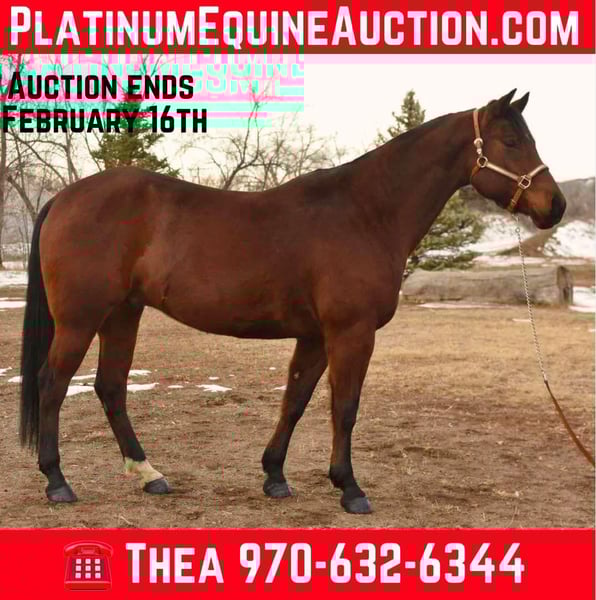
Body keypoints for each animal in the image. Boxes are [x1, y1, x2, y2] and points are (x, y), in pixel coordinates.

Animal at [19, 89, 566, 514]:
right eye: (511, 141)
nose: (555, 205)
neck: (366, 213)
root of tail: (65, 197)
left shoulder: (315, 336)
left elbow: (296, 401)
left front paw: (275, 476)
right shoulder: (350, 333)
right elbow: (344, 407)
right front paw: (350, 489)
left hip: (122, 314)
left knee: (111, 388)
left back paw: (149, 474)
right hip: (80, 319)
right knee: (52, 384)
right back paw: (58, 482)